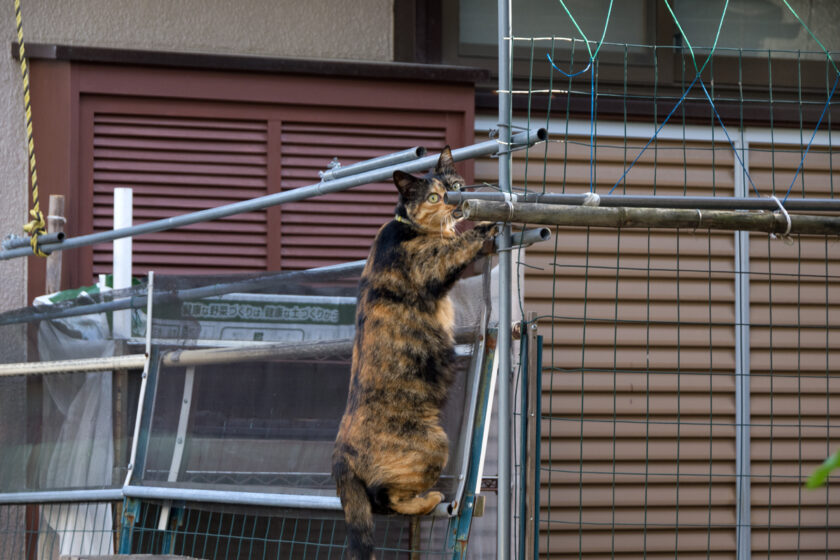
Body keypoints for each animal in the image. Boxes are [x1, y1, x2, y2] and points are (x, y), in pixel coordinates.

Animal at [332, 147, 496, 556]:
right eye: (435, 197)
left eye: (455, 185)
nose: (456, 204)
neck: (411, 228)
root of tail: (340, 455)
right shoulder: (435, 263)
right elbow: (460, 245)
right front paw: (489, 224)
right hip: (433, 445)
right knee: (384, 499)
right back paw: (430, 498)